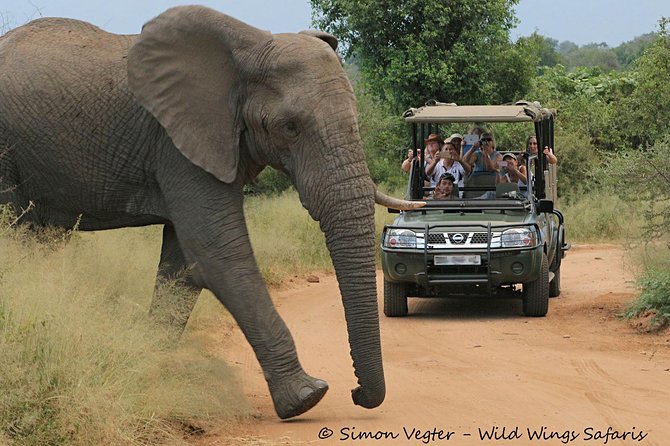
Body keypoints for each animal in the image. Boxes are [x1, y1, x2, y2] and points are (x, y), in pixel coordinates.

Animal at [0, 6, 422, 418]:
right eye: (289, 127)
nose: (357, 394)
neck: (251, 49)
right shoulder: (178, 142)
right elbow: (218, 254)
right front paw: (306, 396)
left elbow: (184, 262)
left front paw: (153, 366)